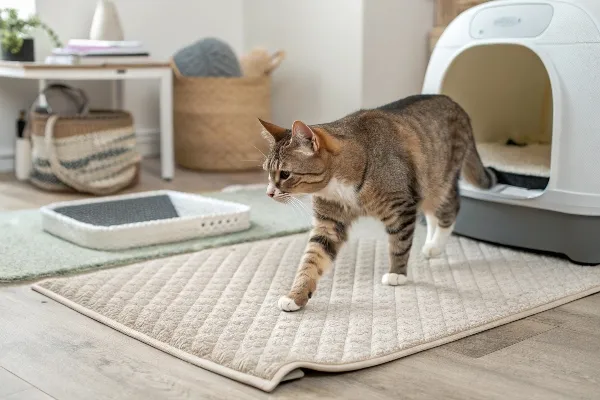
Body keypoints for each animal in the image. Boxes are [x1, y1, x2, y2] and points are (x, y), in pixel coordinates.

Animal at [258, 94, 496, 312]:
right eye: (267, 172)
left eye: (285, 174)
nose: (268, 193)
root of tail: (455, 103)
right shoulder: (329, 222)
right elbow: (311, 260)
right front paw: (295, 296)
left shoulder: (401, 207)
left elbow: (399, 244)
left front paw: (396, 274)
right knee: (431, 215)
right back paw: (430, 244)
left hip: (438, 183)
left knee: (450, 208)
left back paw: (436, 246)